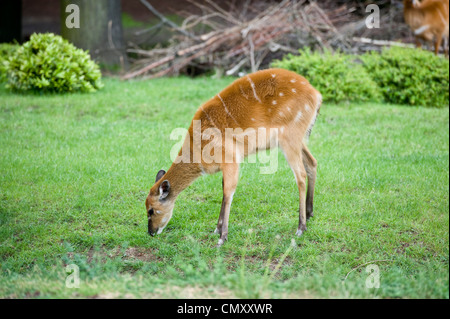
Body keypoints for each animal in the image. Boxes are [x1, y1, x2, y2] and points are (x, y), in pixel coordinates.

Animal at [146, 68, 322, 248]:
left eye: (150, 210)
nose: (151, 232)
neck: (198, 148)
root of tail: (316, 95)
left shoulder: (230, 159)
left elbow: (228, 192)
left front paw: (222, 237)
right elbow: (224, 189)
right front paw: (216, 229)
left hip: (290, 138)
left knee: (300, 175)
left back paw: (301, 227)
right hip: (298, 140)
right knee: (312, 163)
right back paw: (309, 214)